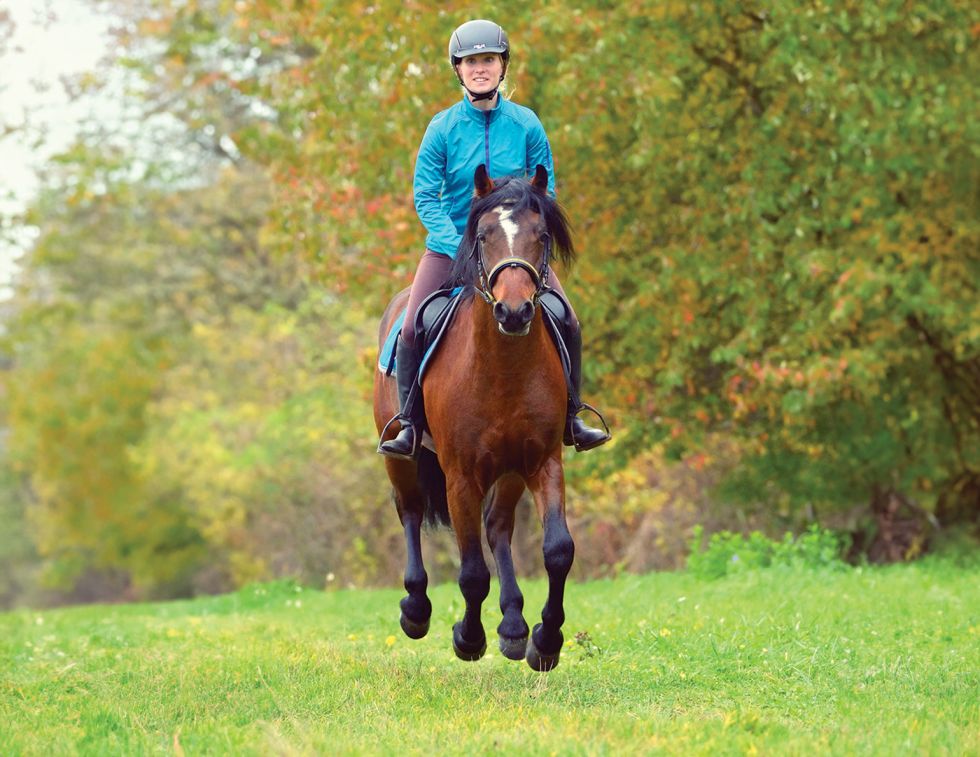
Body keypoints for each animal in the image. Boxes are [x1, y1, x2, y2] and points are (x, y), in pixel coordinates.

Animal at [373, 164, 576, 671]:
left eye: (542, 235)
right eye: (483, 235)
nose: (514, 310)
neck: (503, 367)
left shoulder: (543, 461)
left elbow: (558, 551)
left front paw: (545, 641)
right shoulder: (461, 475)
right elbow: (470, 573)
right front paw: (467, 638)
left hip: (510, 470)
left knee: (498, 527)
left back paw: (513, 626)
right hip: (400, 458)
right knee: (410, 511)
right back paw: (415, 609)